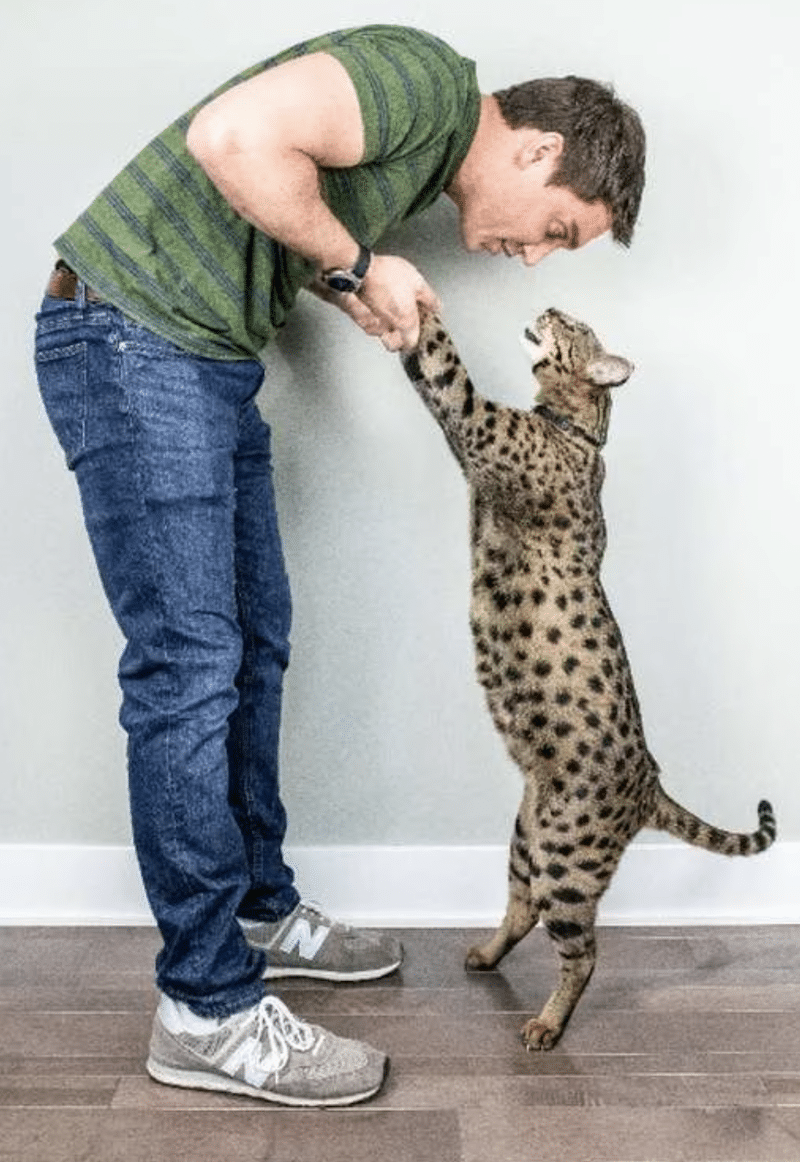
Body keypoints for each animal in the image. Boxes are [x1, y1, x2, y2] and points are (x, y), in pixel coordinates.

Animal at [402, 309, 776, 1055]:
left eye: (573, 324)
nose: (547, 306)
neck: (576, 427)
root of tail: (650, 786)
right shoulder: (469, 449)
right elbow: (427, 377)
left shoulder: (477, 427)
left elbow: (447, 369)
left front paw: (423, 308)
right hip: (528, 841)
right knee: (522, 907)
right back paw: (487, 954)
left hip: (568, 865)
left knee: (584, 953)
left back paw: (547, 1023)